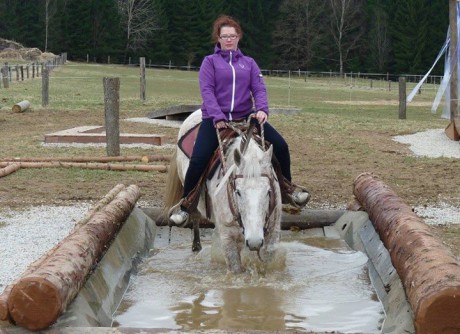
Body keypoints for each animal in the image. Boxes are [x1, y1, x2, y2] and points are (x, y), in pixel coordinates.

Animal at [164, 111, 282, 272]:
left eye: (268, 191)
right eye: (238, 192)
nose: (254, 241)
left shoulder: (272, 236)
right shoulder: (228, 237)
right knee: (194, 215)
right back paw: (195, 245)